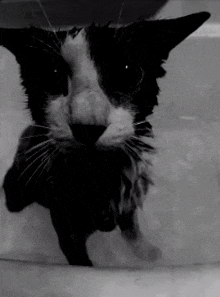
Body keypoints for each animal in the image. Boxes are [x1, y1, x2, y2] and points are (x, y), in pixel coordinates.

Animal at [1, 12, 211, 266]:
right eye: (52, 73)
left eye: (127, 71)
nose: (87, 126)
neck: (99, 174)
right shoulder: (67, 228)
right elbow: (81, 260)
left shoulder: (129, 197)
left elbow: (132, 229)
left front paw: (146, 252)